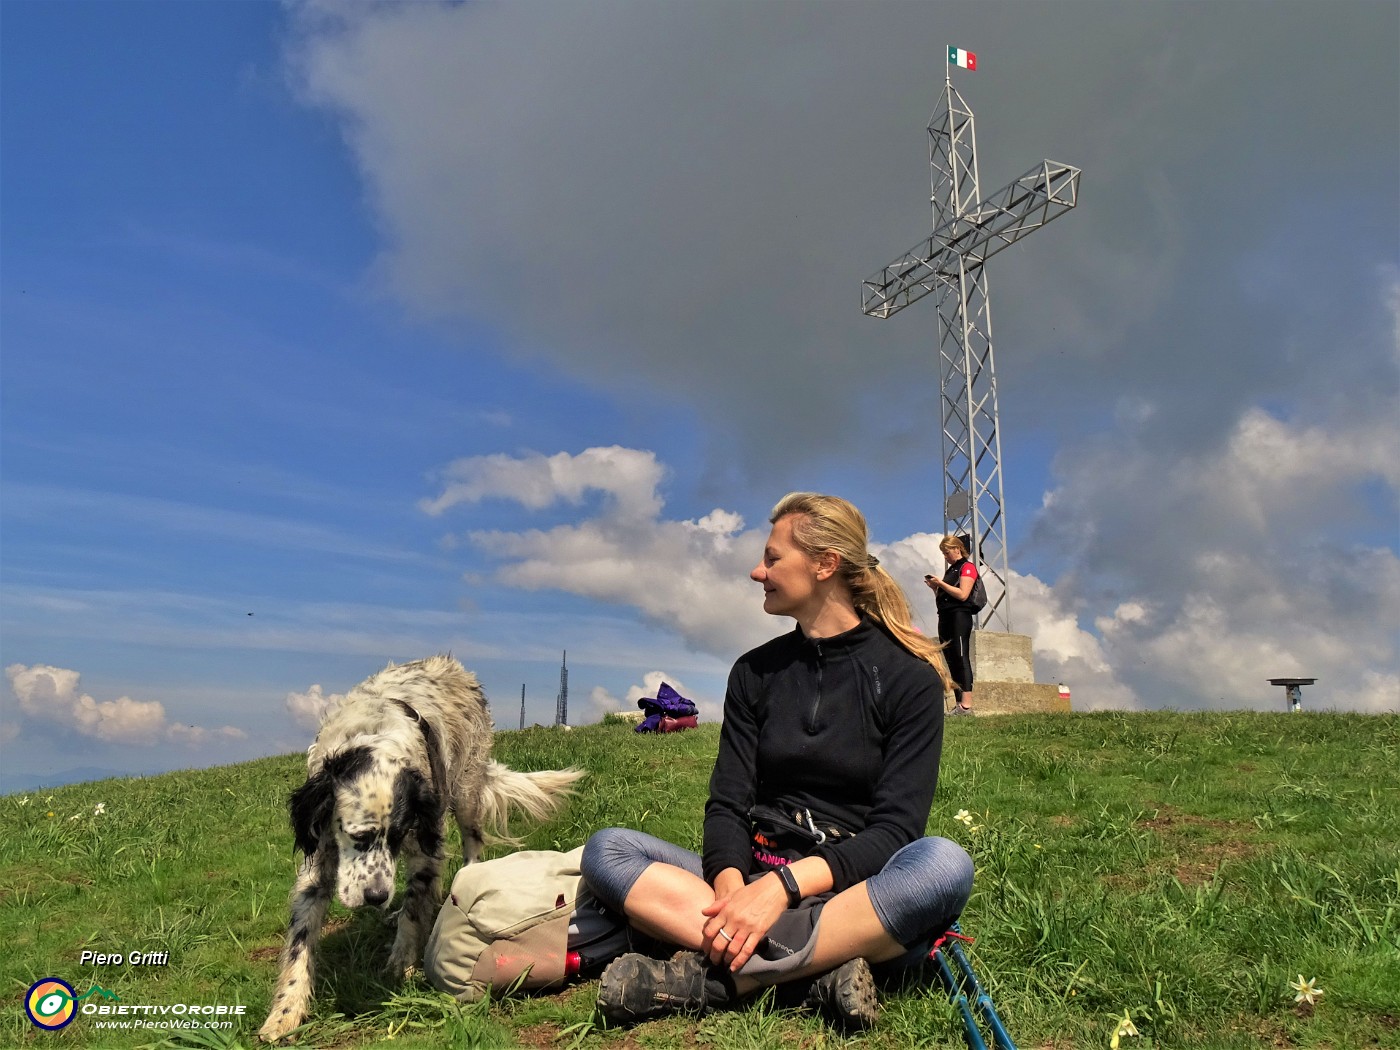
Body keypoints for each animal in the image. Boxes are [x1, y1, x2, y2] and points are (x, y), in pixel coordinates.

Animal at [260, 658, 582, 1047]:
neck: (374, 736)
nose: (376, 897)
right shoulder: (319, 856)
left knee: (472, 846)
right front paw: (285, 1012)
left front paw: (401, 962)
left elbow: (416, 908)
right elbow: (300, 940)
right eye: (358, 835)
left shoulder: (425, 838)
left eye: (397, 836)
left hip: (466, 791)